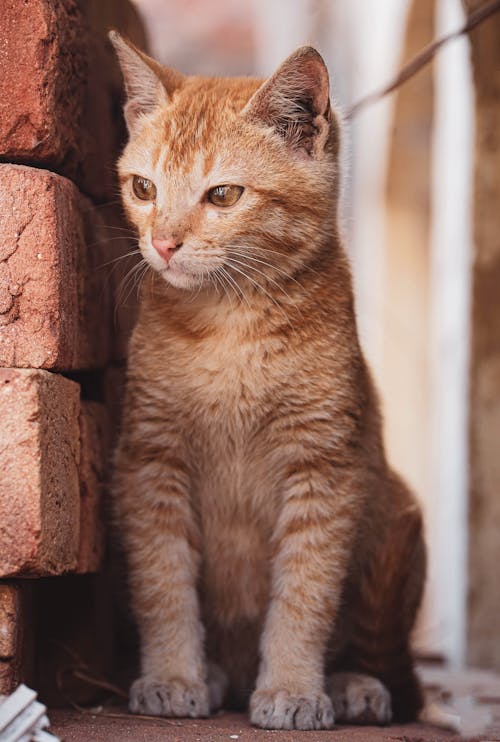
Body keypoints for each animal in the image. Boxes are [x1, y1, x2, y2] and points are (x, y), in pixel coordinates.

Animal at [109, 33, 426, 732]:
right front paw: (173, 676)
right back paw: (215, 674)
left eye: (223, 196)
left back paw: (353, 684)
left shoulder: (325, 469)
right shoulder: (151, 460)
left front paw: (292, 688)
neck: (231, 327)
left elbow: (304, 596)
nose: (162, 243)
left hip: (394, 514)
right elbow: (163, 582)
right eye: (143, 187)